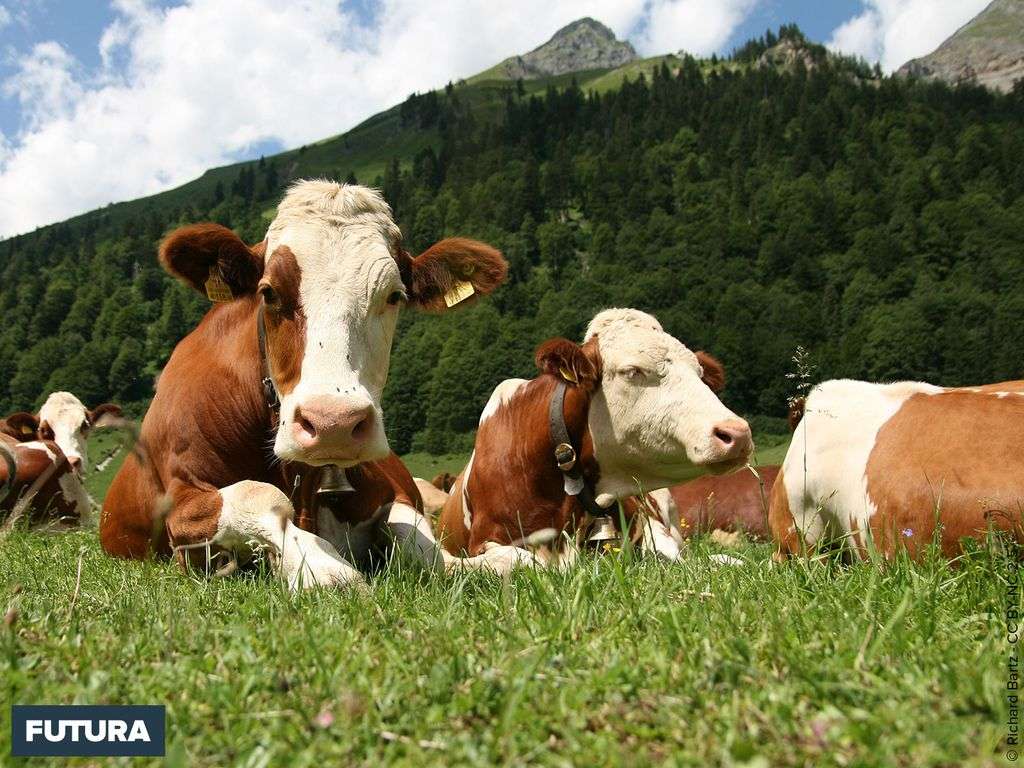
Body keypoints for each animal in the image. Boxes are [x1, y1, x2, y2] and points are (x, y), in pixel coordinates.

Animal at [99, 181, 511, 589]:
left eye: (394, 295)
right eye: (268, 292)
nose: (334, 424)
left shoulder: (392, 492)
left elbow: (419, 539)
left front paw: (493, 560)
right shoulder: (181, 507)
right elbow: (259, 495)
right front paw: (321, 567)